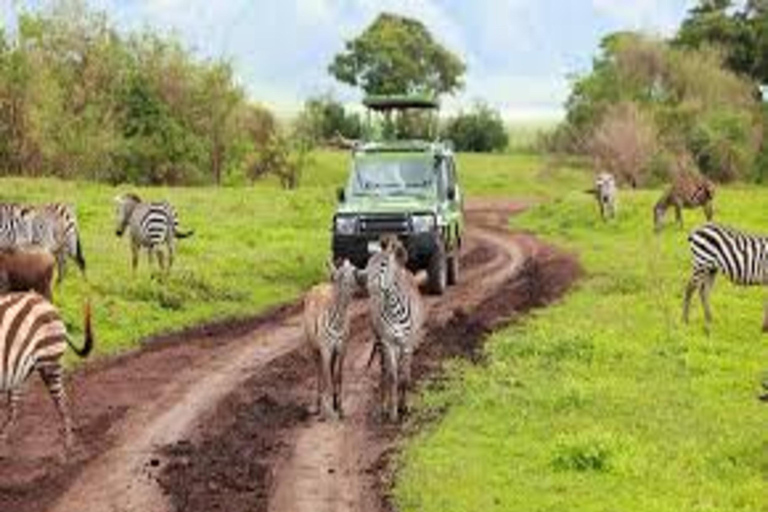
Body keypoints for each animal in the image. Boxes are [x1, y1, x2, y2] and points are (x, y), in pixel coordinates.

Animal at [0, 290, 94, 454]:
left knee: (62, 401)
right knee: (14, 411)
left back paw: (68, 445)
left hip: (50, 362)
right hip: (19, 373)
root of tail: (47, 303)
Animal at [302, 260, 362, 420]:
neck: (338, 320)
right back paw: (318, 406)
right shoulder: (325, 349)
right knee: (319, 373)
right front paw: (327, 412)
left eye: (354, 269)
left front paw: (340, 408)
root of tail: (318, 285)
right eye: (341, 274)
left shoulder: (342, 349)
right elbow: (327, 378)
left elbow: (338, 376)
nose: (361, 276)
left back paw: (332, 403)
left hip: (331, 352)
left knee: (329, 370)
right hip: (313, 348)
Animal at [364, 234, 424, 422]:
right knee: (384, 371)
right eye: (368, 264)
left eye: (383, 265)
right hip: (379, 340)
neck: (394, 306)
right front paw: (393, 411)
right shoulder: (388, 342)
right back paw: (384, 404)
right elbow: (393, 376)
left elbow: (405, 377)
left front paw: (405, 407)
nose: (367, 285)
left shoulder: (407, 344)